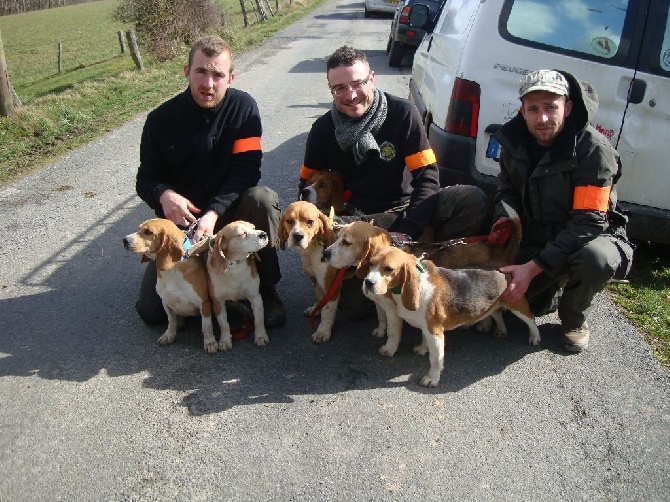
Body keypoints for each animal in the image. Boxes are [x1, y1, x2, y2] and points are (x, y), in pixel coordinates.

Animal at [123, 219, 218, 352]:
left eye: (148, 232)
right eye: (138, 228)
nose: (125, 240)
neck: (172, 270)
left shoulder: (204, 303)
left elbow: (206, 326)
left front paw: (210, 342)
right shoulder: (166, 301)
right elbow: (171, 321)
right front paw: (169, 335)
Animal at [189, 220, 270, 350]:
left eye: (254, 228)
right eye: (243, 233)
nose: (264, 234)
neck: (234, 267)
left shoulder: (255, 297)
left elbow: (259, 319)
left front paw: (261, 336)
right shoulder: (218, 302)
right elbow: (224, 324)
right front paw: (225, 340)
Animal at [278, 202, 342, 344]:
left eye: (310, 222)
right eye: (289, 221)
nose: (297, 236)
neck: (313, 249)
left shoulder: (332, 288)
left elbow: (327, 311)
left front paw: (323, 331)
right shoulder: (315, 279)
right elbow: (318, 297)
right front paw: (315, 310)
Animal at [362, 247, 540, 388]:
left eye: (388, 269)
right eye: (370, 263)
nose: (368, 282)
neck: (417, 284)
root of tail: (502, 264)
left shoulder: (435, 331)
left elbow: (435, 359)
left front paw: (432, 379)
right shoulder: (427, 327)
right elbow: (424, 340)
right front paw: (423, 349)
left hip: (517, 303)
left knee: (531, 319)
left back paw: (535, 337)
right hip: (494, 303)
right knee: (497, 313)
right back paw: (501, 330)